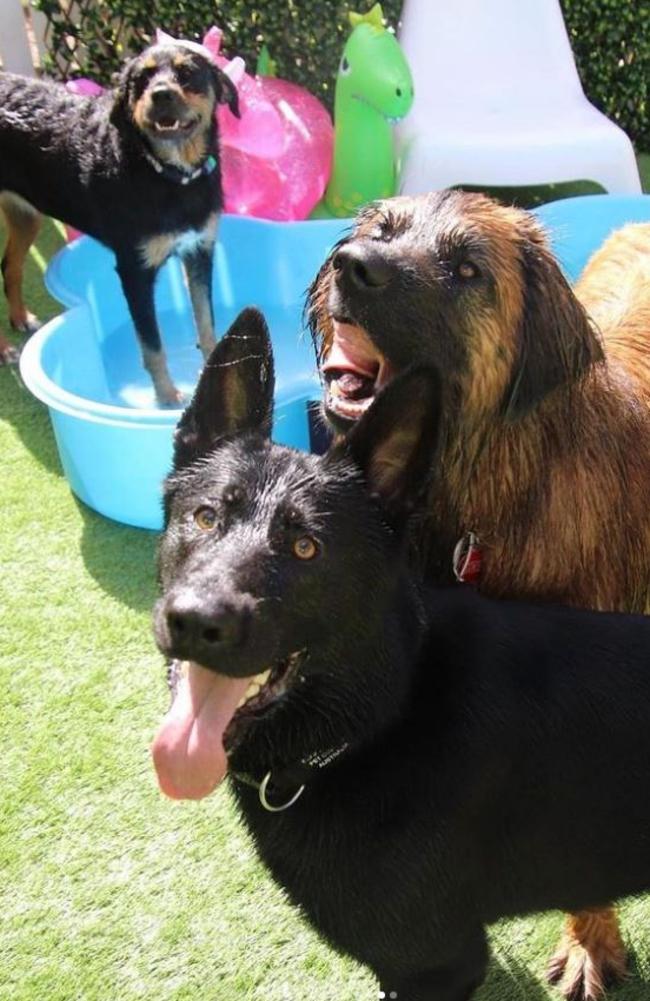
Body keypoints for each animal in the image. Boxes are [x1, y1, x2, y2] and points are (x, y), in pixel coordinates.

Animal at [0, 40, 238, 402]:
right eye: (142, 78)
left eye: (187, 72)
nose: (161, 95)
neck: (170, 175)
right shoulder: (134, 270)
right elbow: (152, 346)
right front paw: (167, 397)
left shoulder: (199, 250)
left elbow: (206, 322)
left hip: (25, 215)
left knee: (9, 266)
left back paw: (20, 318)